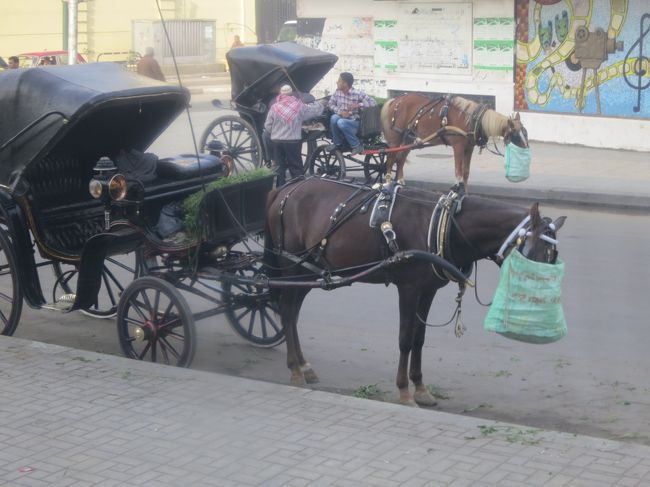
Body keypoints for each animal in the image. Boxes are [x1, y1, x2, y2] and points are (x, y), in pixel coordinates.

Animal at [264, 177, 565, 406]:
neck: (443, 225)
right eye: (534, 253)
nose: (539, 299)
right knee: (287, 311)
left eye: (552, 256)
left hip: (308, 271)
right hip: (292, 267)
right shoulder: (408, 289)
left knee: (293, 313)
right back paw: (295, 368)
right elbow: (405, 340)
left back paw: (303, 364)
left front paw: (420, 388)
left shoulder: (427, 290)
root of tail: (287, 188)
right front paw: (404, 391)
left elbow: (419, 339)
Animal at [380, 94, 529, 188]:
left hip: (409, 139)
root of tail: (395, 100)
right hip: (395, 139)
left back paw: (400, 181)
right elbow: (458, 174)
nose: (526, 148)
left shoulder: (469, 148)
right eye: (515, 135)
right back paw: (387, 183)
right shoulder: (458, 147)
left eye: (525, 133)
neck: (473, 119)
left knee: (400, 159)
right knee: (390, 160)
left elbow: (466, 173)